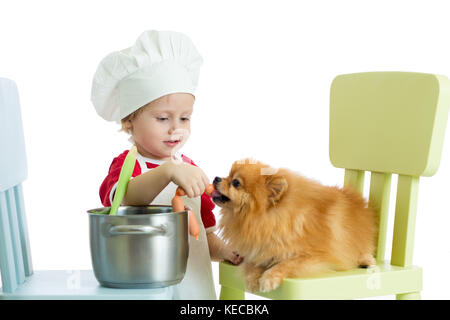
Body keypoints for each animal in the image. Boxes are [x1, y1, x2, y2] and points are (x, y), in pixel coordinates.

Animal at [211, 159, 376, 292]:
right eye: (227, 175)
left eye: (236, 182)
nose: (216, 178)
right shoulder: (260, 249)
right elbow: (254, 263)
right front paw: (252, 278)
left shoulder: (316, 256)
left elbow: (287, 263)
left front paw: (269, 277)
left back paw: (366, 260)